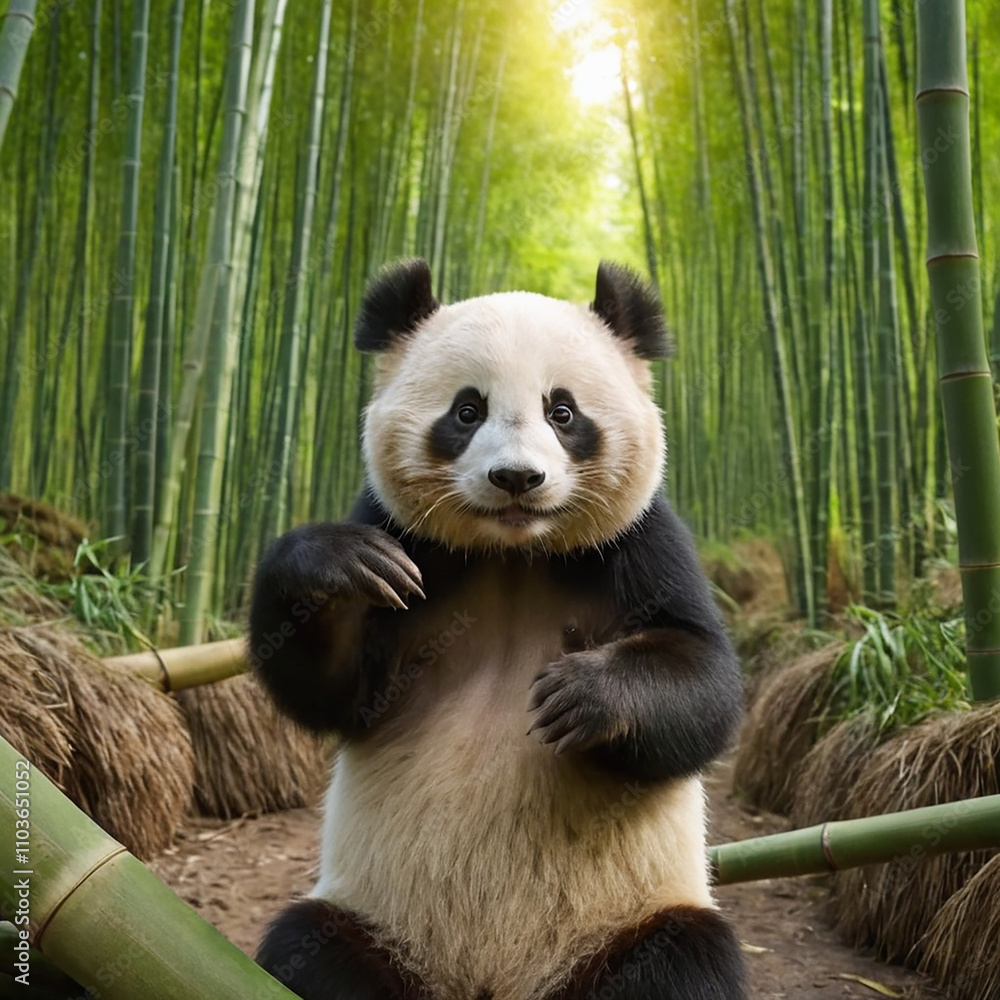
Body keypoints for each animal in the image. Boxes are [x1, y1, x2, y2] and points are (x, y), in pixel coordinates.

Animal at [249, 258, 748, 1000]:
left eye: (562, 412)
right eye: (467, 411)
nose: (517, 478)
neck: (515, 552)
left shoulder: (642, 543)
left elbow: (705, 685)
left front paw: (581, 695)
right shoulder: (408, 541)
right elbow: (334, 692)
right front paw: (336, 567)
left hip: (627, 921)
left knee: (684, 961)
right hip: (373, 923)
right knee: (307, 948)